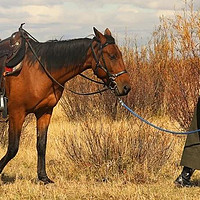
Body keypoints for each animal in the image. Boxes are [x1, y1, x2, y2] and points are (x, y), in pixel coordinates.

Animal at [0, 25, 131, 184]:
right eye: (112, 56)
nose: (126, 87)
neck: (39, 70)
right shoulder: (17, 113)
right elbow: (13, 148)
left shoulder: (44, 112)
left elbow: (41, 145)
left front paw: (44, 177)